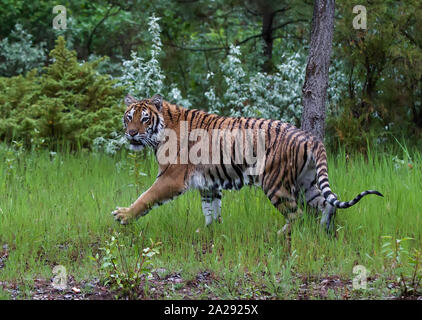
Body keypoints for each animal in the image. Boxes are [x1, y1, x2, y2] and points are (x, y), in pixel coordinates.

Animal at [112, 94, 382, 234]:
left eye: (145, 119)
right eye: (129, 117)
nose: (131, 134)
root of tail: (310, 137)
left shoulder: (171, 177)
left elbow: (146, 197)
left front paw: (124, 215)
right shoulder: (208, 184)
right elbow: (211, 210)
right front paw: (210, 232)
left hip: (276, 184)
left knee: (297, 214)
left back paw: (281, 235)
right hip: (308, 183)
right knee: (326, 206)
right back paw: (325, 232)